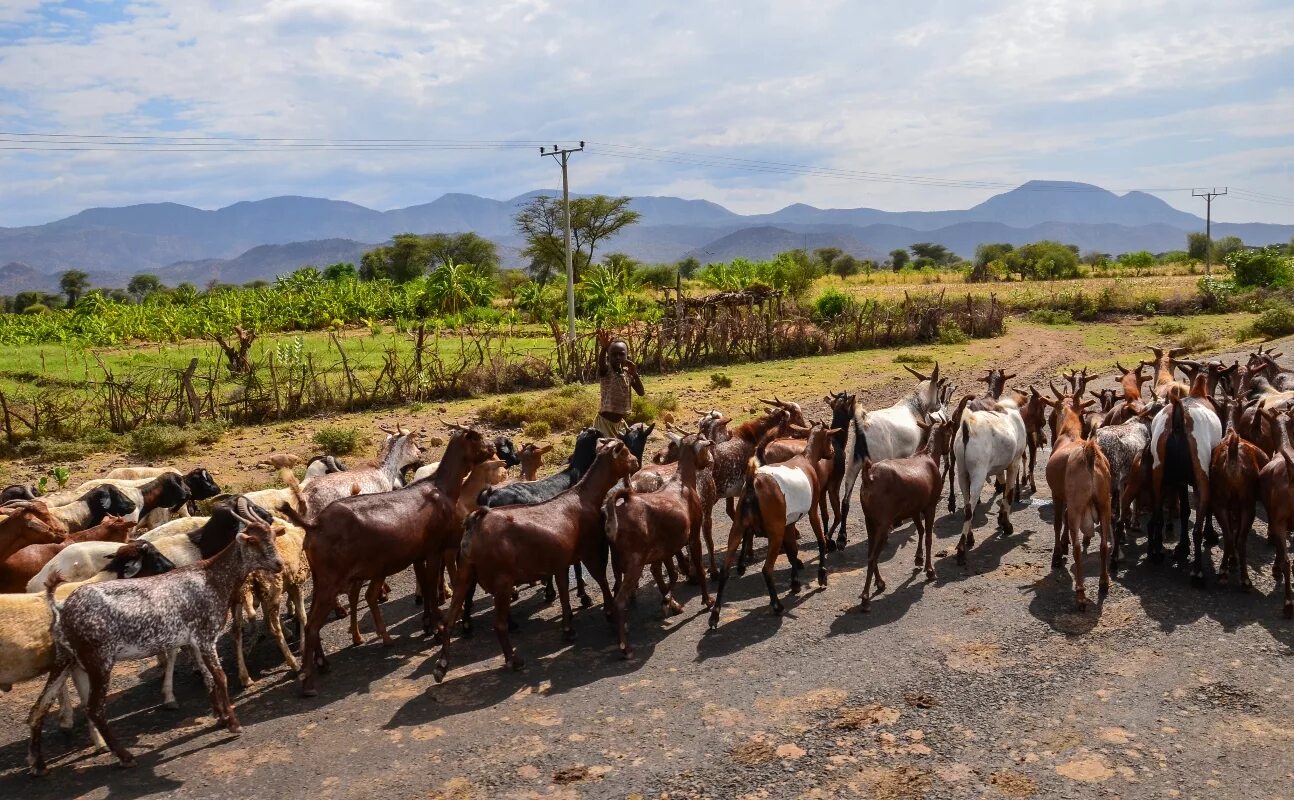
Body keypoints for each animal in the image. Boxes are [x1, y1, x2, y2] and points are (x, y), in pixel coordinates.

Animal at [288, 424, 494, 693]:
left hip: (320, 577)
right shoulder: (434, 549)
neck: (441, 489)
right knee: (312, 624)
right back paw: (309, 682)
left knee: (311, 621)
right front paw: (438, 627)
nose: (493, 447)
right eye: (476, 437)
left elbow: (425, 586)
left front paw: (430, 624)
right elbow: (430, 587)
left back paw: (323, 662)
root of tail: (314, 523)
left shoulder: (419, 553)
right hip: (330, 578)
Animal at [432, 434, 639, 678]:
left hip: (465, 572)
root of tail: (475, 521)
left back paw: (441, 665)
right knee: (499, 624)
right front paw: (607, 612)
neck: (582, 496)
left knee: (449, 619)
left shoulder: (560, 561)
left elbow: (564, 592)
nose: (636, 462)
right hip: (502, 580)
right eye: (624, 452)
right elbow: (601, 579)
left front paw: (568, 628)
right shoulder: (589, 550)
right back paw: (514, 660)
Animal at [600, 434, 714, 655]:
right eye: (705, 445)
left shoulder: (665, 549)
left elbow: (669, 573)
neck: (682, 482)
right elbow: (696, 565)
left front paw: (668, 602)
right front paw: (707, 600)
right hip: (635, 562)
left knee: (615, 591)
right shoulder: (693, 535)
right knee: (619, 601)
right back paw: (625, 646)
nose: (710, 460)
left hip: (618, 562)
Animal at [709, 419, 838, 626]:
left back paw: (714, 615)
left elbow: (793, 552)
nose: (832, 452)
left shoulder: (789, 523)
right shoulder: (811, 511)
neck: (806, 459)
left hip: (737, 529)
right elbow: (820, 541)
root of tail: (752, 484)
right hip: (775, 533)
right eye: (830, 439)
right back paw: (777, 605)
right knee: (767, 569)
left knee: (725, 570)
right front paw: (822, 575)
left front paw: (795, 583)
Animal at [859, 414, 952, 608]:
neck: (927, 456)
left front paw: (918, 558)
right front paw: (930, 570)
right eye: (949, 433)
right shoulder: (930, 506)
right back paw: (865, 597)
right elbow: (929, 536)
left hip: (869, 521)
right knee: (872, 557)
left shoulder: (915, 509)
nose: (947, 450)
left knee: (871, 553)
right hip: (883, 524)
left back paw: (880, 583)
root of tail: (869, 477)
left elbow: (921, 530)